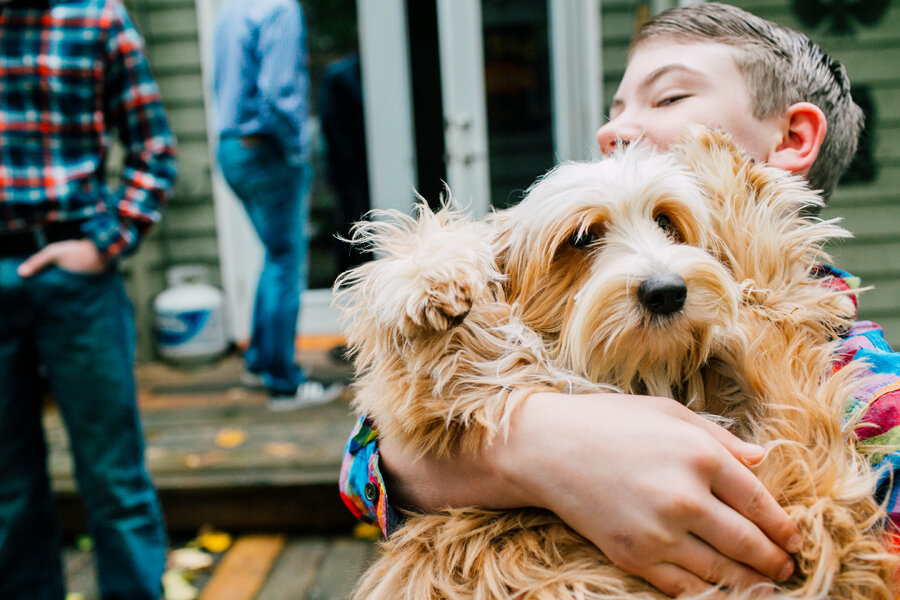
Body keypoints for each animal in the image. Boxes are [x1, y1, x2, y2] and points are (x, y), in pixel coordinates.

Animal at [334, 129, 896, 596]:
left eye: (667, 222)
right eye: (581, 238)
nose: (667, 291)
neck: (632, 377)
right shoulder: (445, 392)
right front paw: (432, 276)